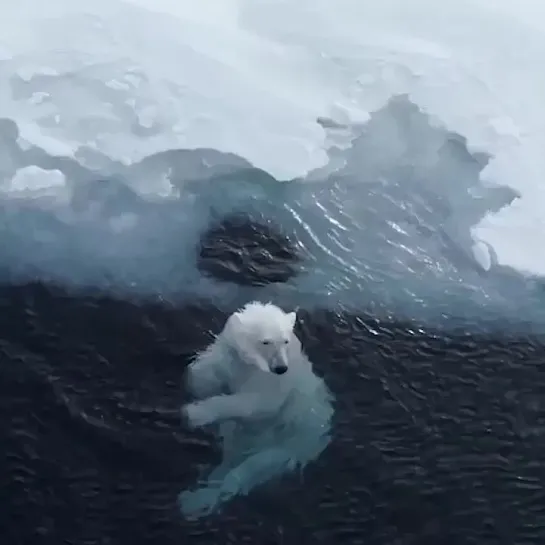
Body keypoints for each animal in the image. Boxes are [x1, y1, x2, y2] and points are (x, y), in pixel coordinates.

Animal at [178, 302, 334, 520]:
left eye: (285, 341)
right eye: (266, 341)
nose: (280, 367)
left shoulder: (275, 382)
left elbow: (259, 404)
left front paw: (194, 414)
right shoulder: (232, 363)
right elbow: (201, 379)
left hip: (291, 443)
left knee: (254, 466)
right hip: (239, 441)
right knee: (229, 459)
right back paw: (195, 500)